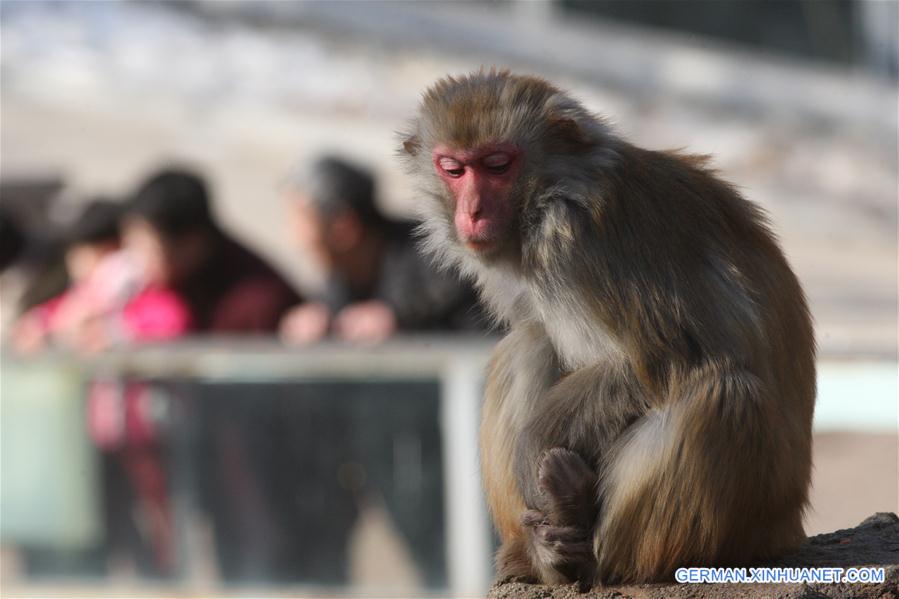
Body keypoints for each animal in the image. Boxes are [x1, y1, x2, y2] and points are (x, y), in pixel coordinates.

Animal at [400, 69, 816, 584]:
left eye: (497, 165)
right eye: (453, 170)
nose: (472, 212)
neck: (551, 194)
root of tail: (788, 525)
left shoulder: (584, 241)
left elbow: (671, 358)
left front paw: (533, 446)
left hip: (754, 514)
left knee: (727, 395)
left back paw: (589, 542)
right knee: (529, 343)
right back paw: (549, 549)